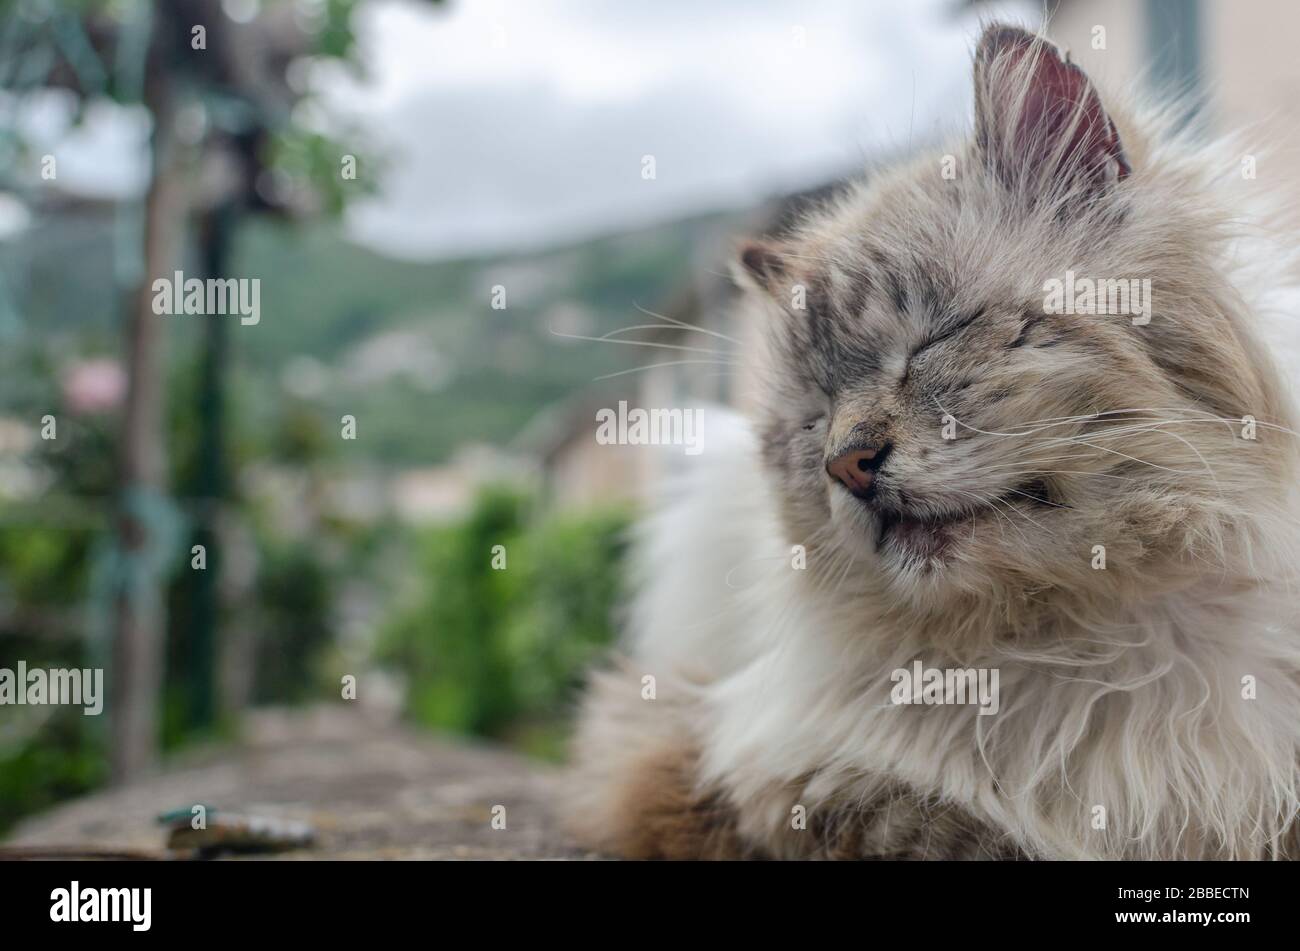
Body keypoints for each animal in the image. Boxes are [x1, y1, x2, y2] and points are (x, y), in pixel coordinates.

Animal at [566, 24, 1300, 862]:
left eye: (931, 343)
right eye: (816, 417)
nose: (845, 465)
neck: (1096, 648)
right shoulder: (753, 771)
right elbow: (954, 826)